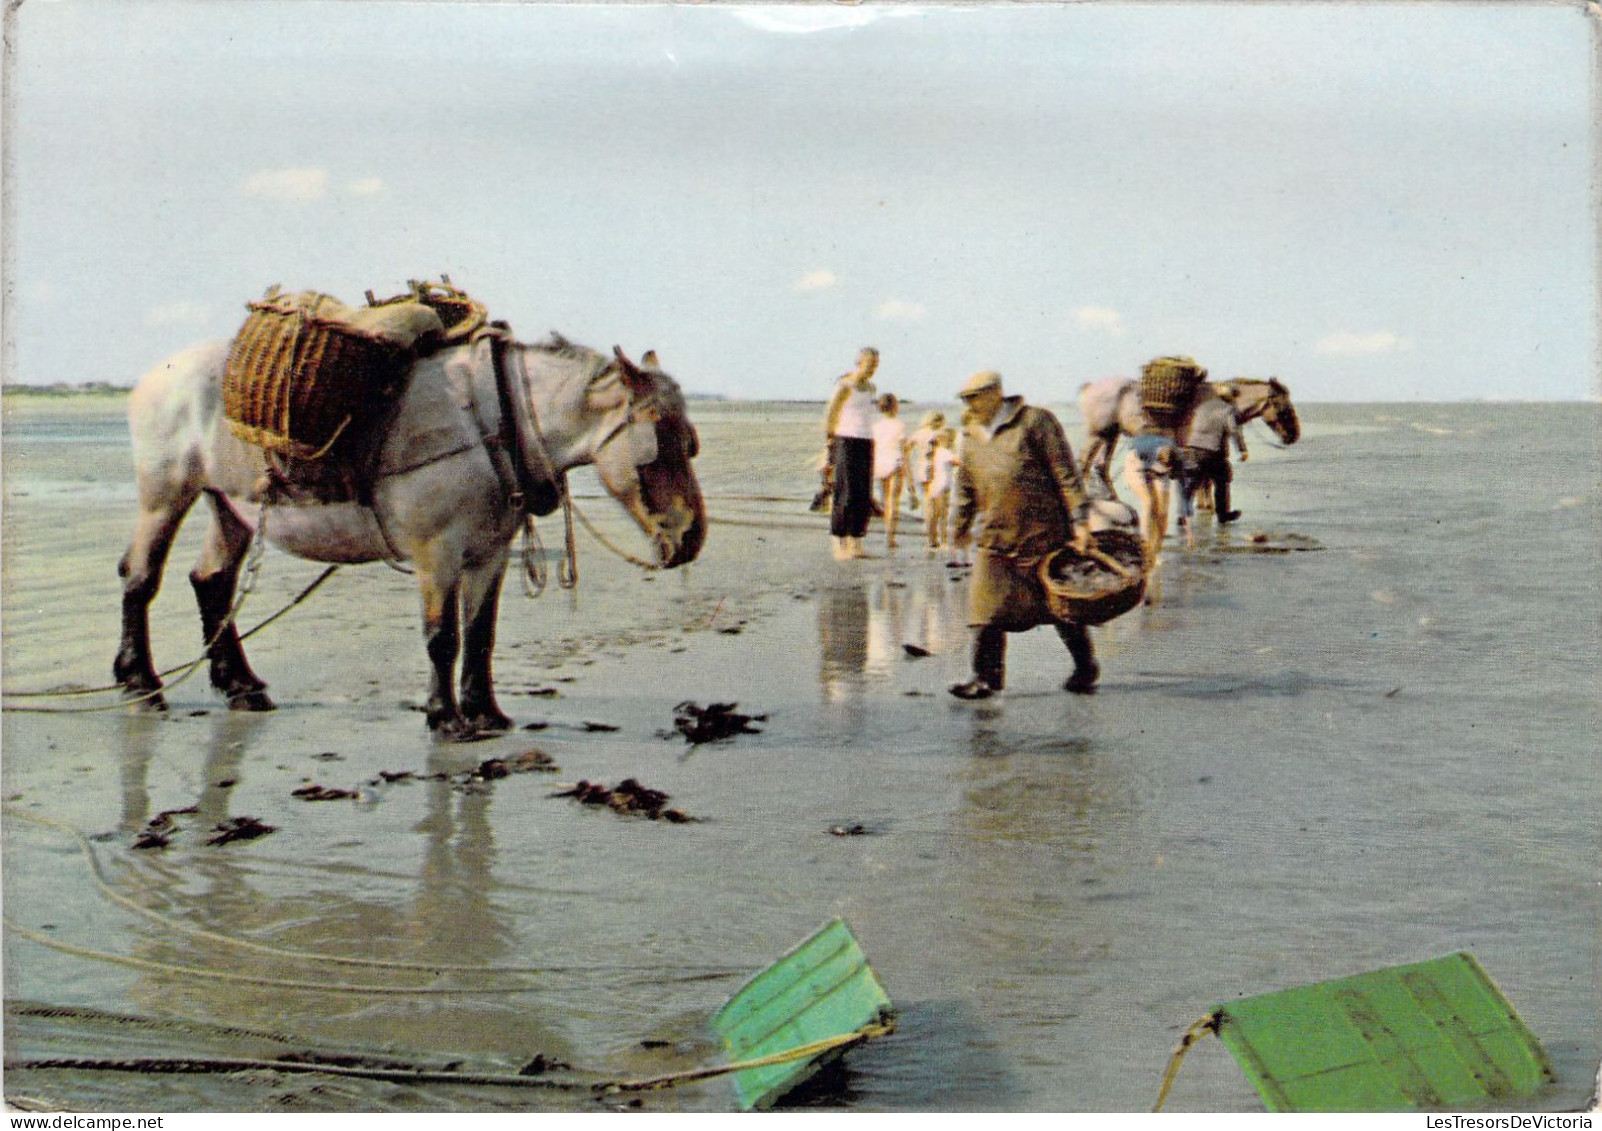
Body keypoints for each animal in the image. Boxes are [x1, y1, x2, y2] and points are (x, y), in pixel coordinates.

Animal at [112, 323, 708, 740]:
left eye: (690, 442)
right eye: (661, 443)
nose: (692, 537)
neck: (495, 421)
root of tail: (156, 376)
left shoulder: (489, 554)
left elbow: (481, 636)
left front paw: (485, 713)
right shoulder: (436, 555)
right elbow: (442, 637)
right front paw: (445, 717)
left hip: (229, 507)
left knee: (211, 582)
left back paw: (240, 686)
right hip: (165, 497)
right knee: (140, 576)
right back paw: (140, 682)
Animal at [1076, 374, 1300, 490]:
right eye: (1283, 406)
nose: (1294, 435)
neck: (1224, 401)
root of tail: (1089, 387)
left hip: (1111, 435)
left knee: (1101, 467)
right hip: (1097, 435)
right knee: (1085, 465)